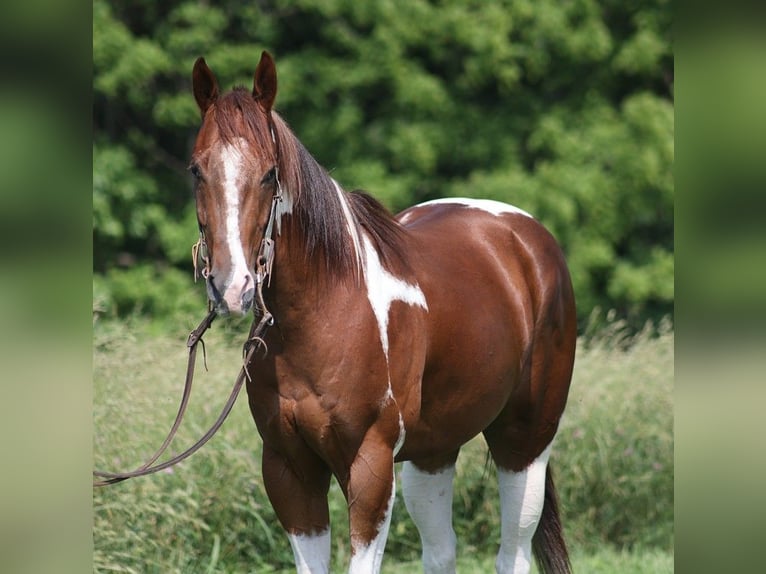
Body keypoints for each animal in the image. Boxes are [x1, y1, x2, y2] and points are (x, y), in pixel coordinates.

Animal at [189, 51, 577, 574]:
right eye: (196, 170)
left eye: (270, 173)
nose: (232, 286)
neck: (327, 313)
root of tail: (527, 236)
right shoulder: (289, 468)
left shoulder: (369, 466)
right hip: (433, 451)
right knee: (441, 551)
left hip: (525, 441)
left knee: (512, 552)